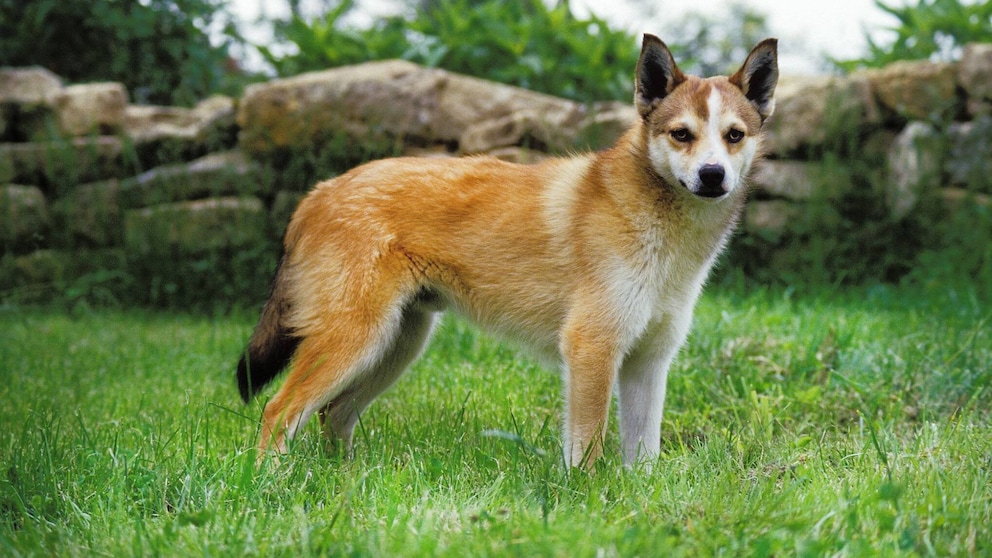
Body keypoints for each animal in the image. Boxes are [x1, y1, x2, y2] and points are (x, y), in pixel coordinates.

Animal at [236, 35, 780, 470]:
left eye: (734, 136)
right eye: (681, 134)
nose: (713, 175)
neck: (658, 225)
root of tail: (320, 192)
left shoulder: (648, 362)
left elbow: (642, 456)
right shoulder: (592, 349)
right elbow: (586, 450)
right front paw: (584, 502)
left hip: (395, 345)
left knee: (334, 415)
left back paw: (344, 481)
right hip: (356, 341)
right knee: (279, 411)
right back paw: (272, 484)